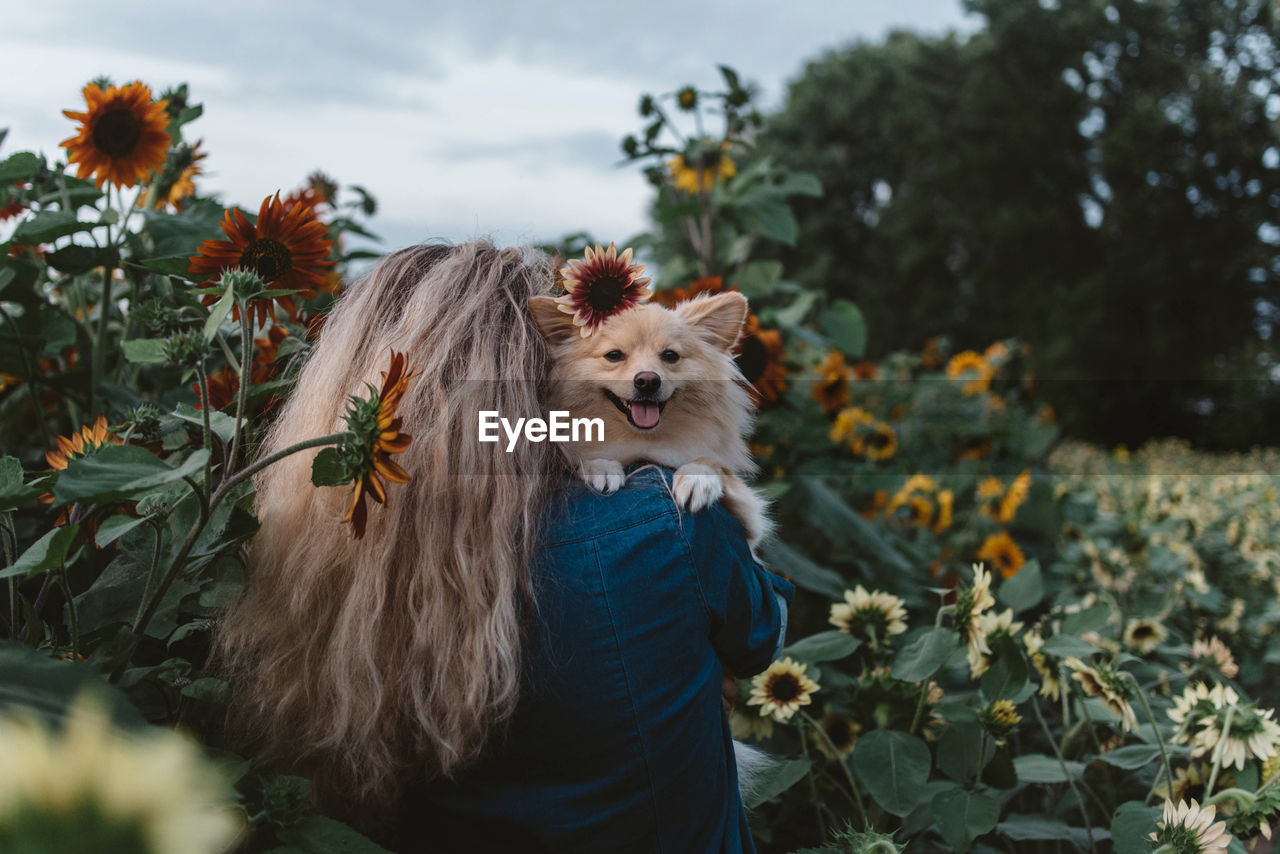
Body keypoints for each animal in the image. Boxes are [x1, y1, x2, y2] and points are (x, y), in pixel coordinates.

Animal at [529, 290, 768, 550]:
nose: (647, 380)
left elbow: (716, 465)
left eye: (670, 356)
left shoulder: (751, 518)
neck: (642, 440)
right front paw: (600, 466)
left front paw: (697, 476)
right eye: (614, 355)